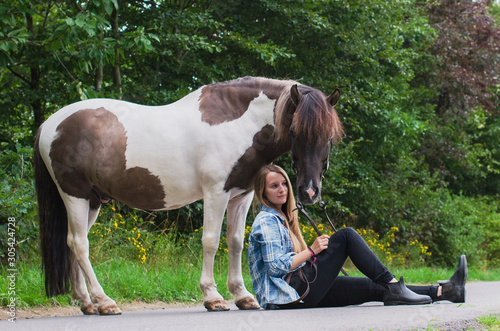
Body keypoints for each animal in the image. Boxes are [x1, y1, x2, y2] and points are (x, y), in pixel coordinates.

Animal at [32, 76, 344, 316]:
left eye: (329, 136)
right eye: (294, 131)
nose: (309, 191)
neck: (237, 123)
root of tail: (49, 124)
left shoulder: (240, 196)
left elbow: (235, 242)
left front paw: (243, 296)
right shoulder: (216, 193)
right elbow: (210, 242)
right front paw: (213, 297)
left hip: (93, 201)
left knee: (73, 244)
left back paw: (87, 303)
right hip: (75, 195)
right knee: (79, 244)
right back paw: (104, 301)